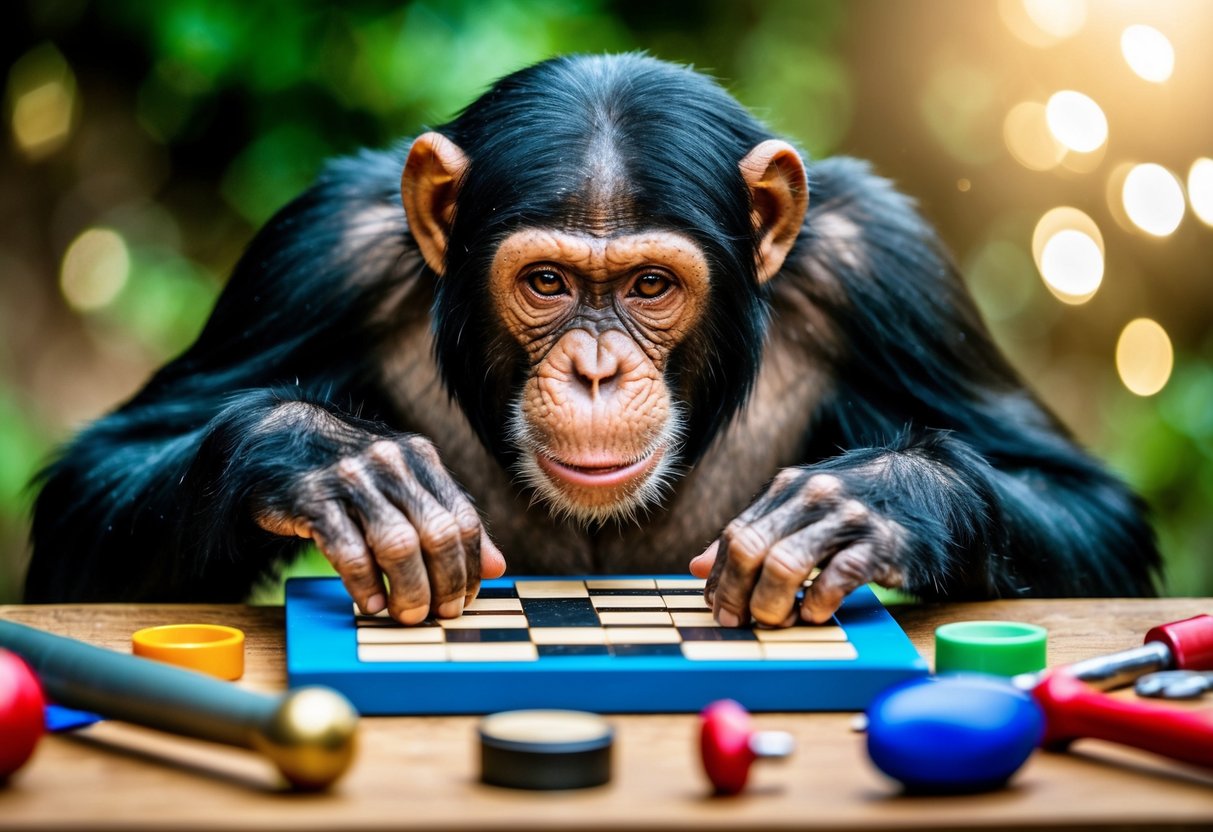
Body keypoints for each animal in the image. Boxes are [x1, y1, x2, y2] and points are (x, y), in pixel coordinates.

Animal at [26, 54, 1159, 628]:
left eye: (651, 286)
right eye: (547, 283)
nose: (598, 367)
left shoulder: (887, 268)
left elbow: (1079, 500)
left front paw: (878, 500)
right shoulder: (313, 251)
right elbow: (104, 474)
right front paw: (330, 464)